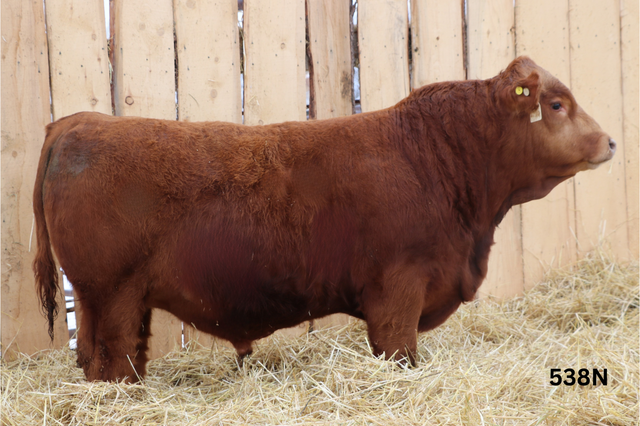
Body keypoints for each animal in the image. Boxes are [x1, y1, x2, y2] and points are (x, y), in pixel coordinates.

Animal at [33, 57, 615, 383]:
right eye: (556, 104)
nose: (610, 141)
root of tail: (77, 121)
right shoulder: (398, 291)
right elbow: (400, 354)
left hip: (102, 300)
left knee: (94, 359)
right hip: (114, 294)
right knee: (113, 363)